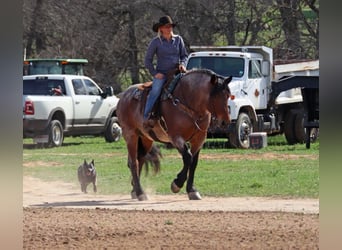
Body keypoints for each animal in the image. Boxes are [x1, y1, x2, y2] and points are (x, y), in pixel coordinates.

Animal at [117, 69, 232, 201]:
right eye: (215, 96)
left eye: (228, 95)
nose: (225, 122)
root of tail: (124, 95)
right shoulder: (176, 138)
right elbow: (188, 157)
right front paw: (176, 184)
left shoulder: (199, 139)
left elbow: (194, 162)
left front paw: (192, 190)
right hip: (130, 135)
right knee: (133, 163)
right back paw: (141, 192)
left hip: (145, 138)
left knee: (140, 159)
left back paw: (135, 191)